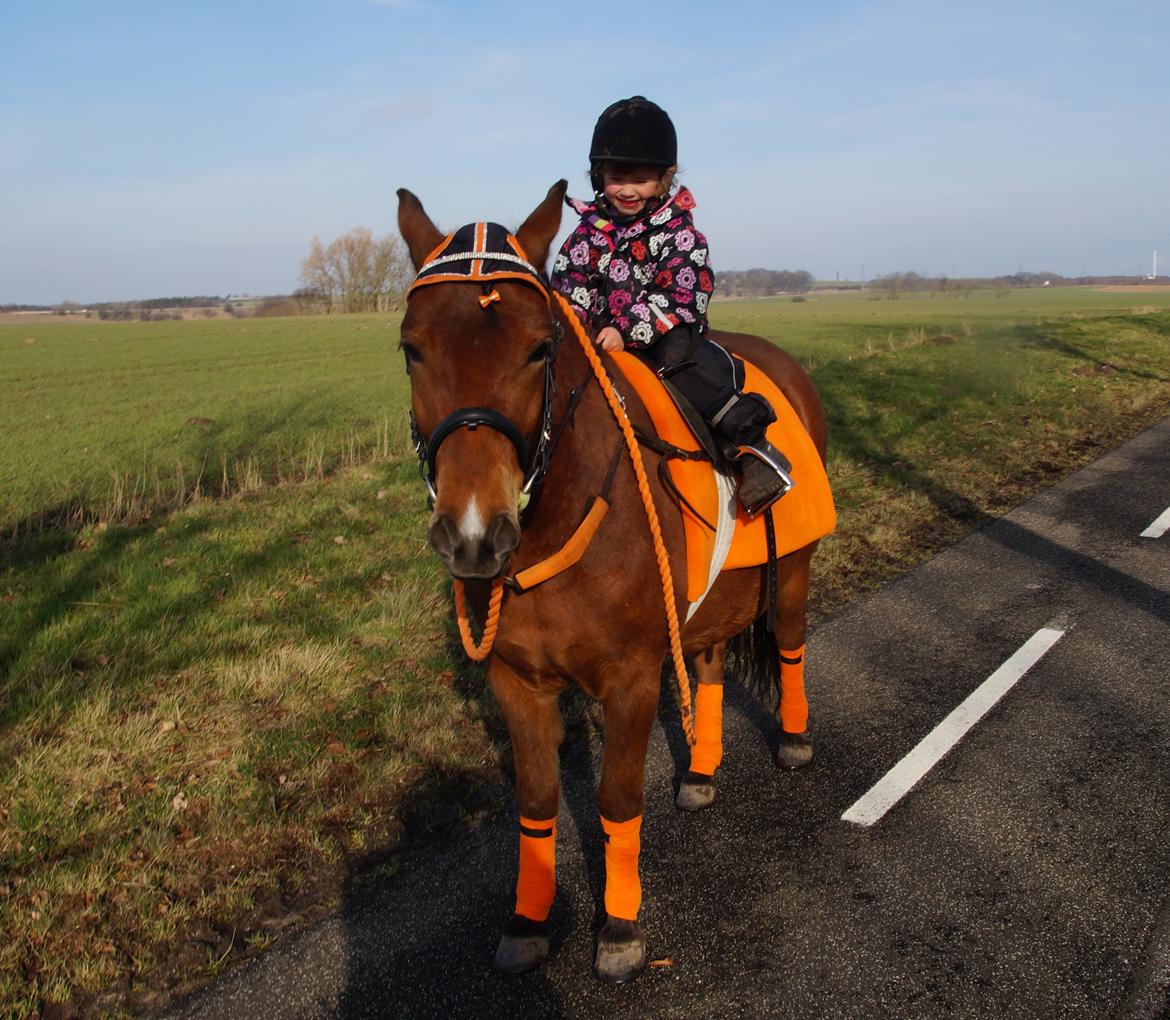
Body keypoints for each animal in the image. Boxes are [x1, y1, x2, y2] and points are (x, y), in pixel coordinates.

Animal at [397, 181, 828, 977]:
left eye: (539, 348)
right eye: (412, 348)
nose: (473, 533)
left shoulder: (630, 679)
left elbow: (618, 800)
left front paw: (621, 926)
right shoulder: (517, 682)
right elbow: (538, 806)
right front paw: (528, 921)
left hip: (792, 574)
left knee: (789, 644)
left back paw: (792, 739)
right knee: (710, 664)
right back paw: (700, 773)